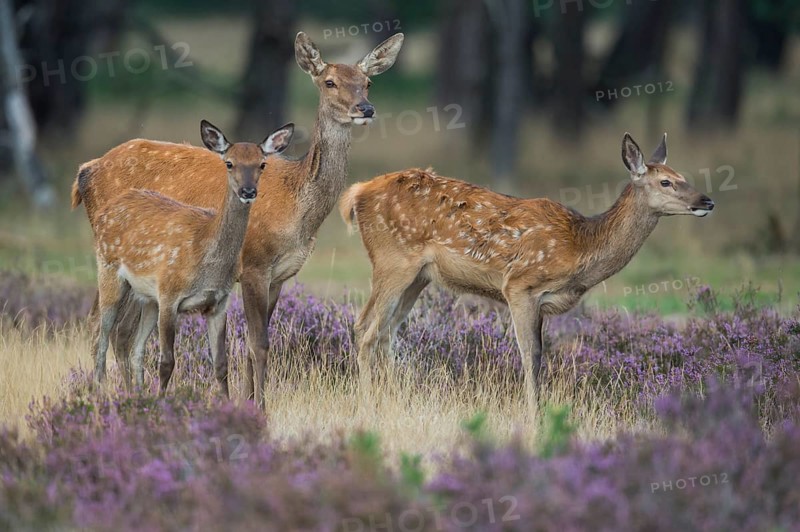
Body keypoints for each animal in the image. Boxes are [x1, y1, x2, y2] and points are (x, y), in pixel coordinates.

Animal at [91, 121, 294, 392]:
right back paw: (101, 391)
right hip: (109, 271)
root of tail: (104, 212)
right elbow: (167, 362)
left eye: (262, 164)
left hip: (146, 298)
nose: (248, 191)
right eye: (229, 163)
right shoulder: (169, 294)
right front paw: (161, 400)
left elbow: (221, 364)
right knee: (100, 338)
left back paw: (136, 394)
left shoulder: (218, 302)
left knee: (134, 346)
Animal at [339, 133, 715, 406]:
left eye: (682, 177)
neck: (580, 247)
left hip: (419, 277)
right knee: (366, 328)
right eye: (665, 182)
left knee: (386, 332)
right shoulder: (520, 285)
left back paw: (393, 398)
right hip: (392, 260)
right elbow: (530, 355)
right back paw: (369, 403)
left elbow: (540, 356)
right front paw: (535, 413)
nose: (707, 201)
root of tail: (356, 194)